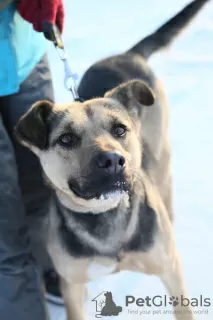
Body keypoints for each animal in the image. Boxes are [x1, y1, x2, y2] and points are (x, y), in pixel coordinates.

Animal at [13, 0, 210, 320]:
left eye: (120, 130)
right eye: (66, 139)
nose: (113, 161)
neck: (105, 216)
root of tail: (127, 55)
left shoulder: (171, 273)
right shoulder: (72, 286)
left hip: (164, 164)